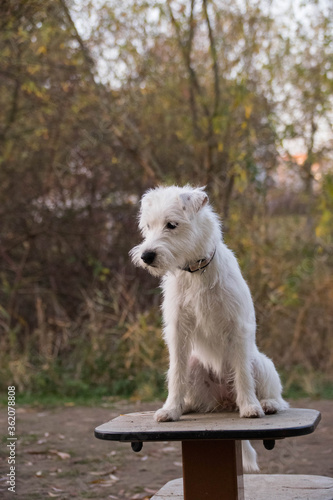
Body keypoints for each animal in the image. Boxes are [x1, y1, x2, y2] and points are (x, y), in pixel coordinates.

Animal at [130, 186, 288, 470]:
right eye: (148, 226)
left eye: (171, 225)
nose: (147, 256)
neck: (196, 271)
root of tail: (225, 400)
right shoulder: (178, 331)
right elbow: (176, 374)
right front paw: (171, 408)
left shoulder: (238, 328)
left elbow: (243, 375)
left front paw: (250, 407)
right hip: (195, 366)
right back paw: (184, 406)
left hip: (261, 363)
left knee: (278, 397)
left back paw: (266, 403)